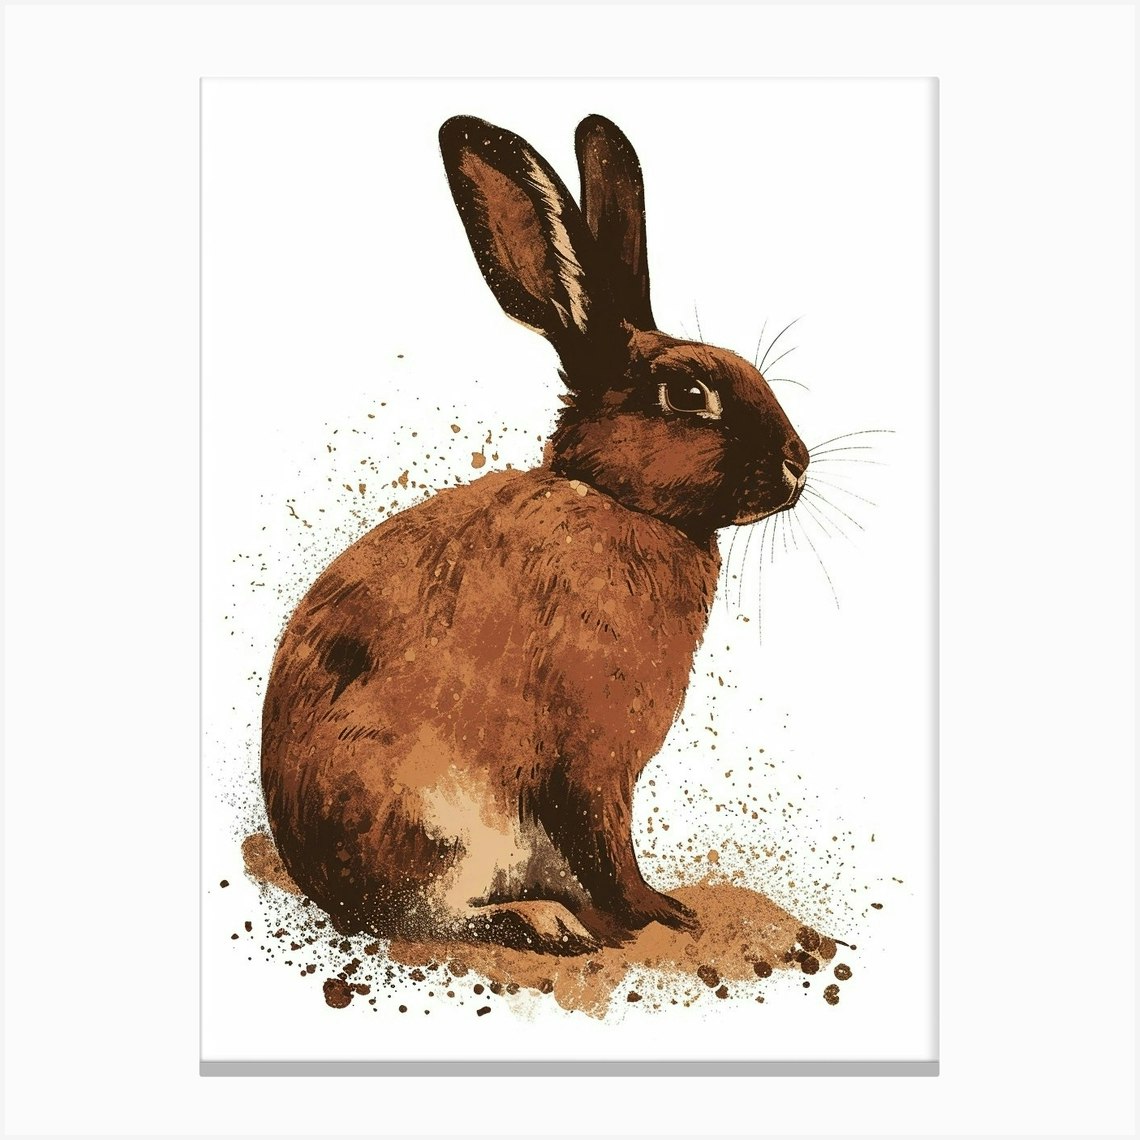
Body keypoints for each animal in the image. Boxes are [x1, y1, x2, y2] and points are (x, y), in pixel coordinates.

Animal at [260, 113, 809, 955]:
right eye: (689, 394)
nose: (798, 464)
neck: (615, 501)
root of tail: (319, 884)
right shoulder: (590, 764)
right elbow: (607, 849)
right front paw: (661, 914)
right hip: (429, 821)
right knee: (425, 916)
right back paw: (544, 923)